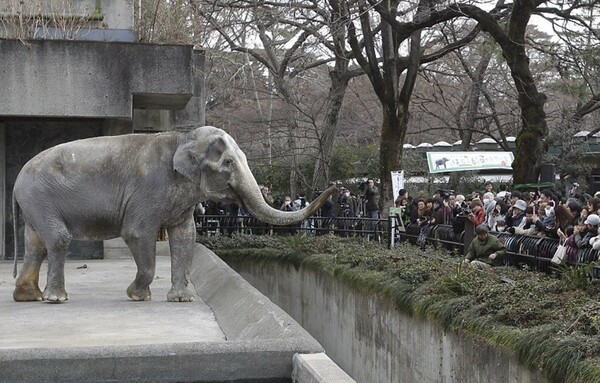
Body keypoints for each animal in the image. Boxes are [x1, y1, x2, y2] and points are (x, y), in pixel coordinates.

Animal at [12, 127, 338, 304]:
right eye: (229, 162)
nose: (333, 186)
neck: (184, 136)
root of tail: (16, 181)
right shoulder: (147, 189)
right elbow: (137, 233)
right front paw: (137, 295)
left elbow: (185, 237)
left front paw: (181, 299)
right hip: (41, 198)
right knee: (57, 239)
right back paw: (55, 298)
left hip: (35, 204)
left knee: (35, 245)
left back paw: (29, 297)